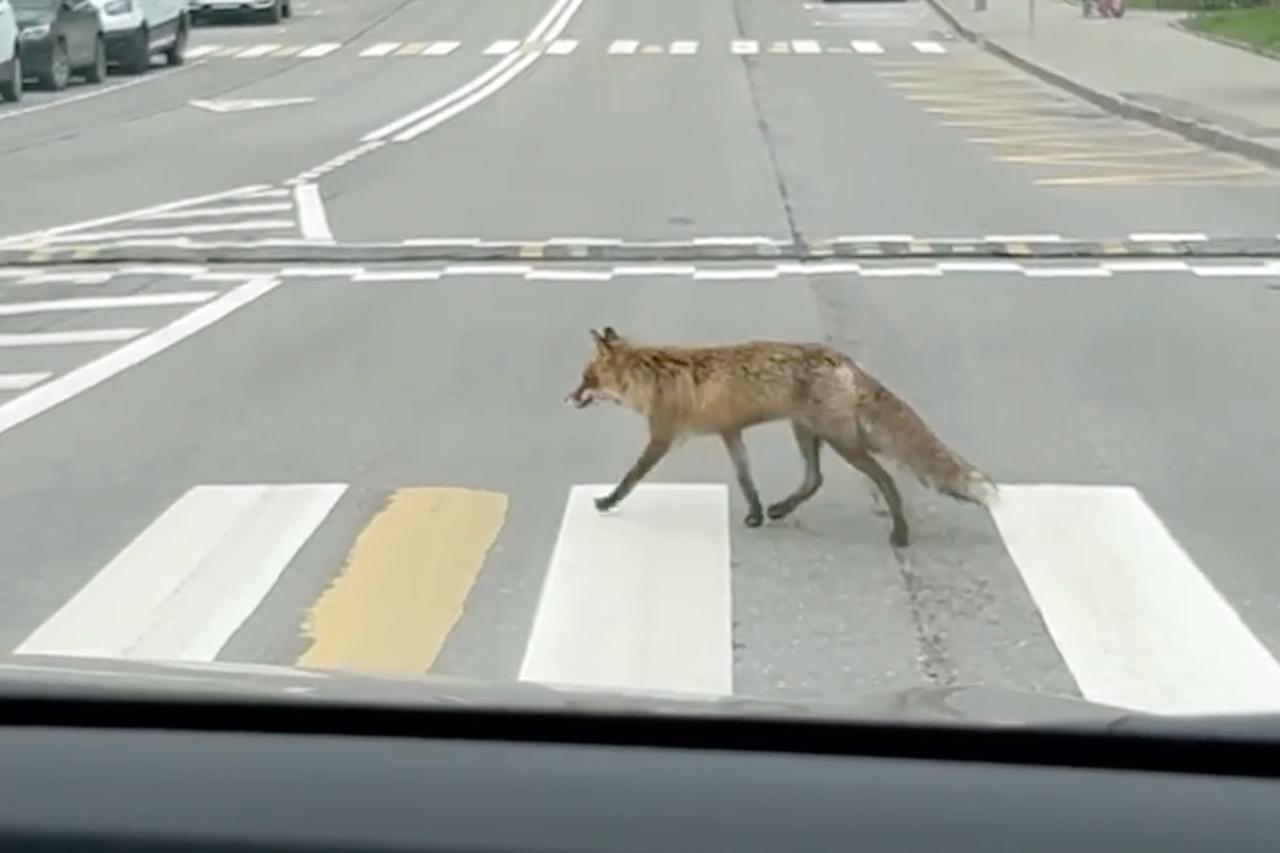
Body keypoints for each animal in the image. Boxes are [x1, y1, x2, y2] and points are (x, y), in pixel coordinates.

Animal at [565, 326, 997, 547]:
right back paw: (779, 510)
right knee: (814, 479)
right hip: (806, 431)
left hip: (842, 441)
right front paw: (756, 513)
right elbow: (746, 480)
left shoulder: (663, 438)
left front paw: (607, 501)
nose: (566, 398)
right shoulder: (730, 432)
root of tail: (842, 358)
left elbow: (631, 478)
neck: (651, 376)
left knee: (885, 478)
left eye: (586, 378)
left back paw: (901, 533)